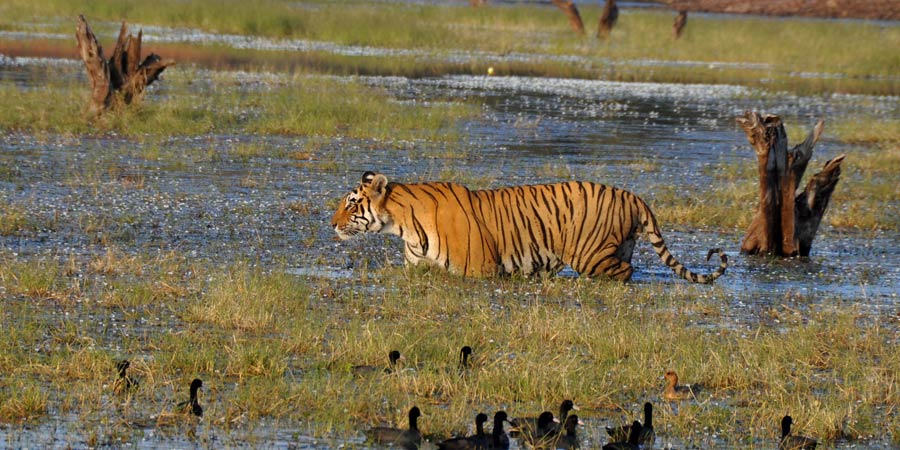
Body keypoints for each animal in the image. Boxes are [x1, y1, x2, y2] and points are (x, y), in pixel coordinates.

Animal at [331, 171, 727, 283]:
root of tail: (634, 196)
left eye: (351, 203)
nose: (332, 223)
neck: (401, 225)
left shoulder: (480, 269)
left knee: (624, 273)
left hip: (588, 254)